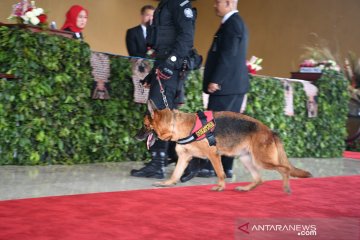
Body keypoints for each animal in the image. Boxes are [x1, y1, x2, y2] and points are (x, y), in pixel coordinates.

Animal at [141, 101, 312, 193]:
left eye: (144, 125)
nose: (136, 136)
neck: (177, 125)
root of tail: (271, 131)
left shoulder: (214, 156)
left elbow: (220, 173)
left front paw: (220, 187)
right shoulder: (184, 158)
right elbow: (175, 175)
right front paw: (166, 184)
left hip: (261, 160)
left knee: (285, 169)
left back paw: (286, 187)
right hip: (246, 160)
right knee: (259, 179)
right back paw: (245, 189)